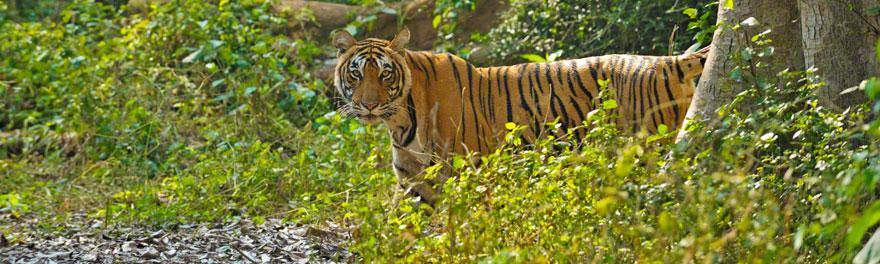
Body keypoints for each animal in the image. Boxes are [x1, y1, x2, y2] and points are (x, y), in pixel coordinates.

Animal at [330, 27, 708, 203]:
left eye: (385, 75)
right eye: (356, 74)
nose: (368, 105)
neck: (401, 121)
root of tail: (670, 61)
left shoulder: (471, 173)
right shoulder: (414, 183)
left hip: (654, 149)